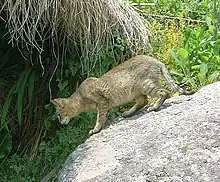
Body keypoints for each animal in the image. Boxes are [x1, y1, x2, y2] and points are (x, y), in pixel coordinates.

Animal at [50, 55, 193, 135]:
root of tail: (155, 60)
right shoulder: (104, 104)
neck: (80, 97)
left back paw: (154, 107)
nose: (60, 122)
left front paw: (96, 129)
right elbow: (103, 117)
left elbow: (99, 119)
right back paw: (128, 113)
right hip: (137, 92)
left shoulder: (102, 102)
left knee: (165, 92)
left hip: (146, 85)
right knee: (143, 101)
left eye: (58, 115)